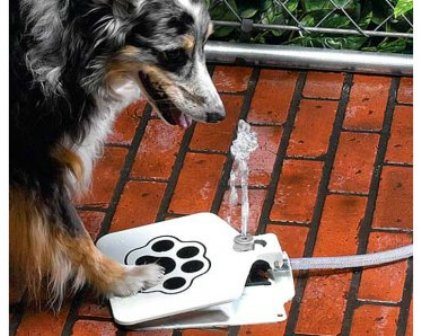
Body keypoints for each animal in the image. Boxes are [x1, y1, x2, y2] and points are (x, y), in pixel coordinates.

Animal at [9, 0, 223, 310]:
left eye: (206, 44)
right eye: (173, 54)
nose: (218, 115)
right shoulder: (34, 158)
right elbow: (73, 232)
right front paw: (122, 279)